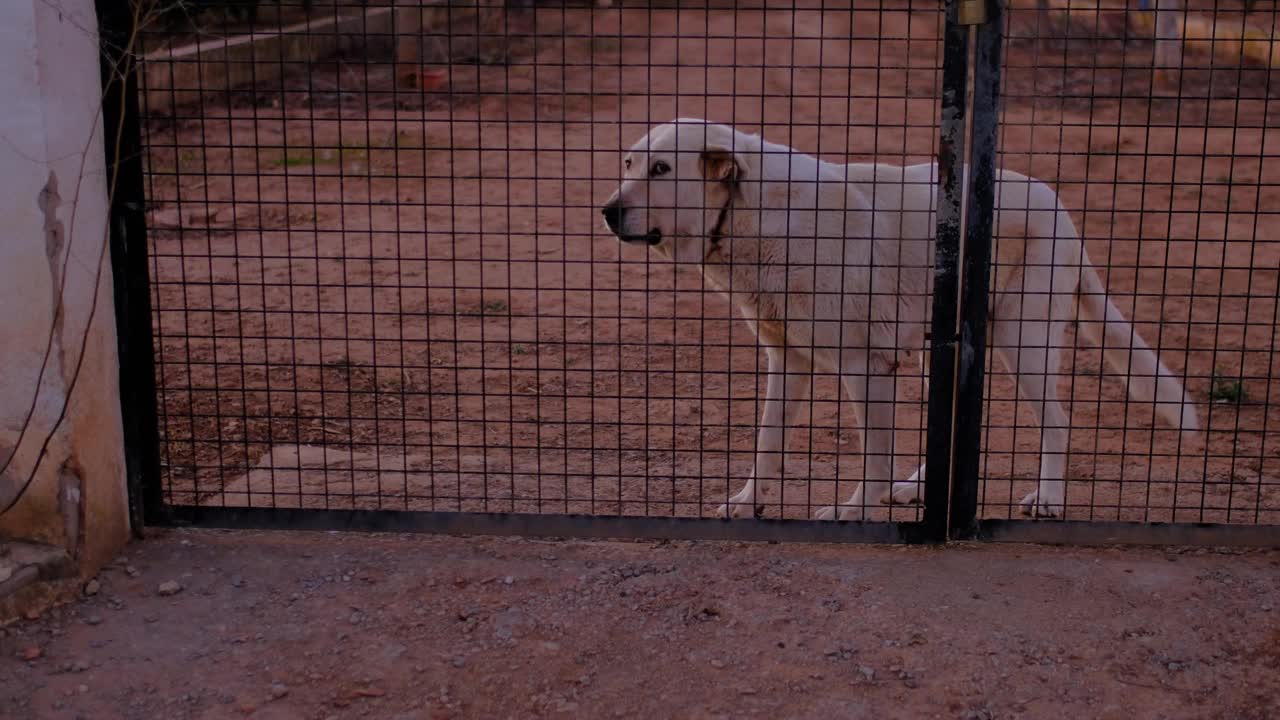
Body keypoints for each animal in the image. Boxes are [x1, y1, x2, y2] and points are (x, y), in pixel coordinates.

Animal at [599, 120, 1198, 517]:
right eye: (628, 165)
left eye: (661, 169)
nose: (606, 212)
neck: (748, 215)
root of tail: (1060, 207)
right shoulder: (787, 362)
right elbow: (766, 444)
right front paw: (749, 504)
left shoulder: (865, 368)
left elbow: (874, 455)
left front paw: (856, 511)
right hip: (949, 349)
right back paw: (919, 489)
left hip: (1022, 345)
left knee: (1057, 420)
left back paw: (1048, 498)